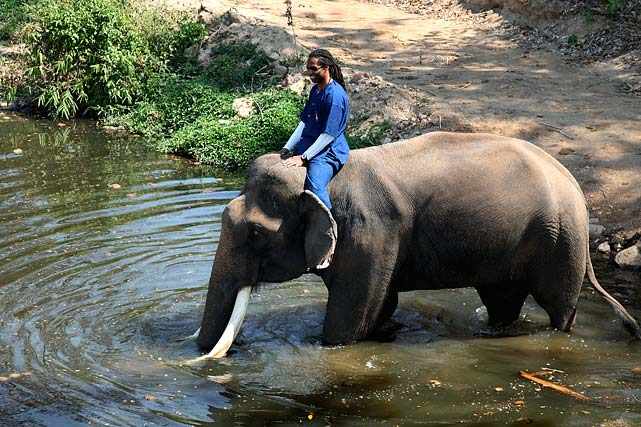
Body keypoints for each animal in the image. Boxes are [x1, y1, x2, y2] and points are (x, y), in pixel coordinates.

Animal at [194, 131, 641, 359]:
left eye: (255, 234)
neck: (320, 176)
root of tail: (576, 186)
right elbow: (381, 304)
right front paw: (387, 329)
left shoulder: (372, 233)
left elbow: (351, 317)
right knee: (501, 301)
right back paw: (493, 331)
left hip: (559, 241)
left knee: (558, 308)